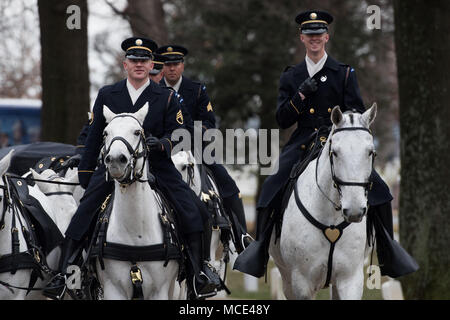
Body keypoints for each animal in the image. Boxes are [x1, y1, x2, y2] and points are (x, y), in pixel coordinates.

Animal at [96, 103, 179, 300]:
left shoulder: (159, 291)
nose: (116, 160)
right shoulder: (113, 290)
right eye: (105, 133)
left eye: (136, 132)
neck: (136, 233)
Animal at [270, 104, 380, 298]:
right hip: (286, 278)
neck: (331, 217)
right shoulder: (302, 283)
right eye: (334, 152)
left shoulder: (350, 279)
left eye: (370, 152)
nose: (354, 211)